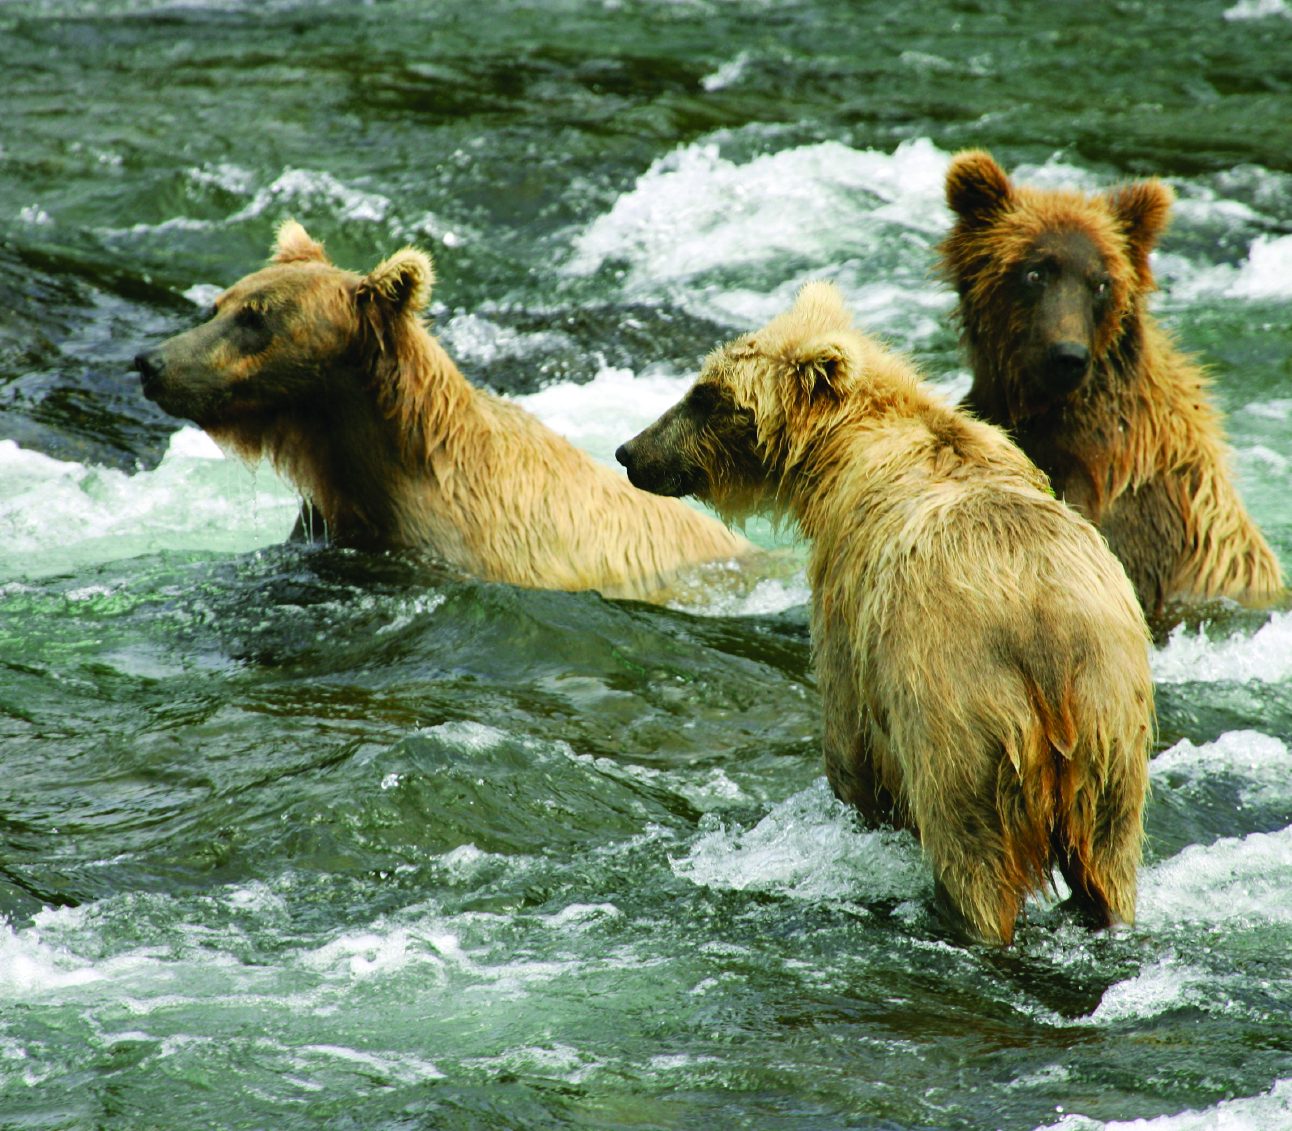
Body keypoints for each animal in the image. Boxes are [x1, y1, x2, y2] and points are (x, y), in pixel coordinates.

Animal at [614, 285, 1152, 946]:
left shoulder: (848, 598)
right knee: (1108, 857)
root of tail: (1041, 635)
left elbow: (848, 738)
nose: (630, 452)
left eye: (706, 394)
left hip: (962, 714)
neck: (845, 452)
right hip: (1112, 725)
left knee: (971, 845)